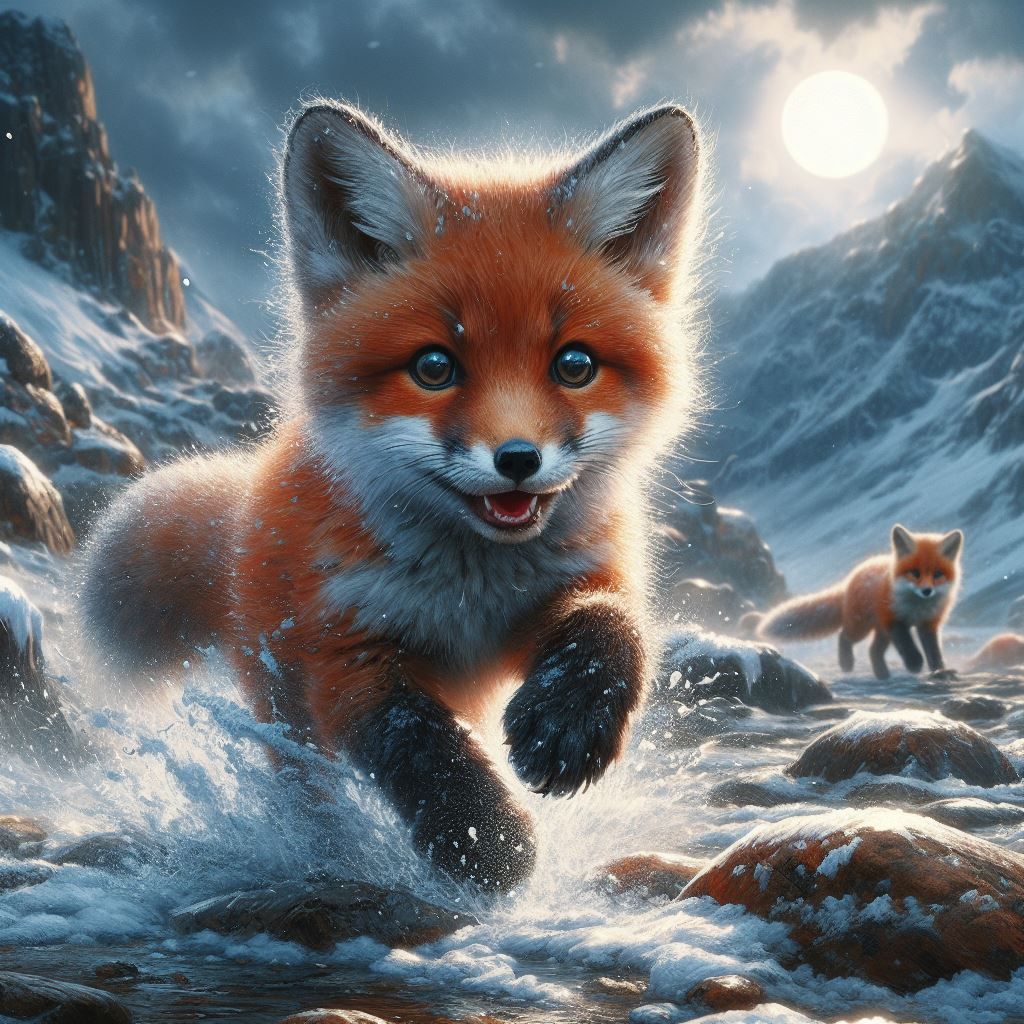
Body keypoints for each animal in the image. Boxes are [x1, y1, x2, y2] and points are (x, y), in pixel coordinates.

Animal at [81, 101, 706, 892]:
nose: (517, 461)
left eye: (574, 365)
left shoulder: (577, 585)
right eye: (434, 367)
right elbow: (414, 739)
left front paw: (567, 728)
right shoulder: (343, 650)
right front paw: (484, 840)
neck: (471, 591)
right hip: (282, 708)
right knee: (306, 788)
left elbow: (613, 631)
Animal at [757, 524, 963, 680]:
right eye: (915, 573)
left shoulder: (929, 624)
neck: (917, 608)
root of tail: (852, 576)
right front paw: (914, 662)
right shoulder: (893, 620)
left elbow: (934, 652)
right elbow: (906, 644)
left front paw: (940, 671)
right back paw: (847, 663)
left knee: (873, 651)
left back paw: (882, 675)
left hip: (880, 631)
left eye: (938, 574)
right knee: (844, 636)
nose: (927, 591)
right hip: (861, 627)